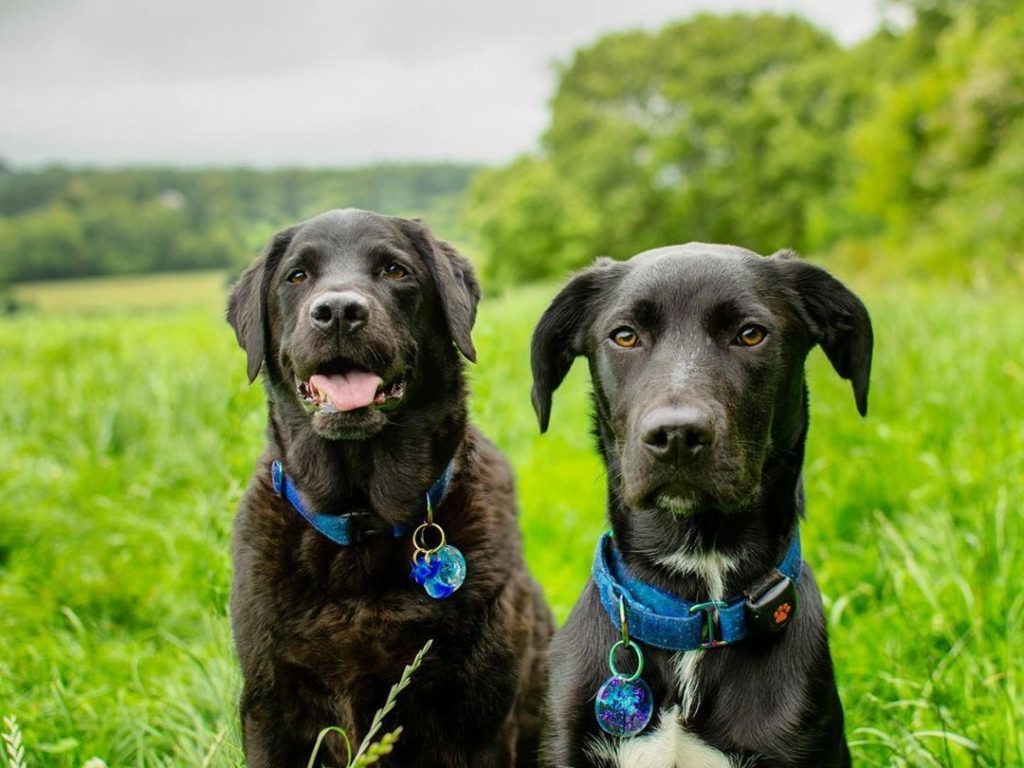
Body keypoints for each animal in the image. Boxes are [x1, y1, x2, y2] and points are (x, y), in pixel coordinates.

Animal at [229, 210, 557, 768]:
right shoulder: (267, 708)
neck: (363, 523)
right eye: (297, 276)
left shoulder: (480, 722)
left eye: (394, 270)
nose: (339, 311)